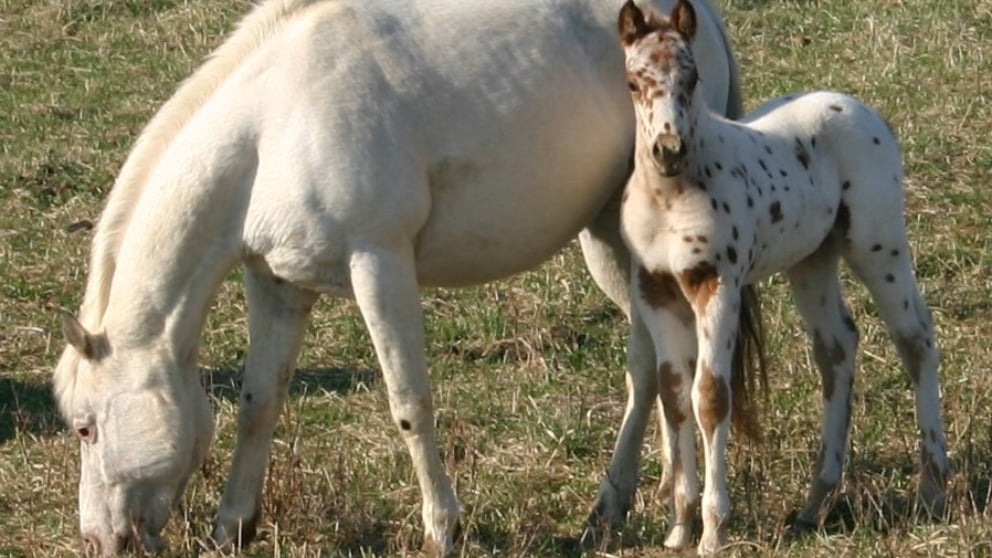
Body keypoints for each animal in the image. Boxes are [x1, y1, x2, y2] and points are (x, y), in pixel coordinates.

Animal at [50, 0, 740, 556]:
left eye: (85, 427)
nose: (96, 541)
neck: (273, 129)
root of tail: (693, 19)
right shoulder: (277, 284)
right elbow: (257, 403)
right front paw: (231, 526)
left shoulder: (378, 264)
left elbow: (409, 404)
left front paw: (443, 528)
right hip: (609, 241)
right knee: (656, 364)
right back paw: (644, 496)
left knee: (652, 367)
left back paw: (624, 506)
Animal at [620, 1, 952, 556]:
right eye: (632, 82)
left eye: (693, 77)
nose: (668, 149)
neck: (670, 195)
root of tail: (863, 109)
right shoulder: (656, 290)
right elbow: (673, 395)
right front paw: (679, 526)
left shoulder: (716, 284)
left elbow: (710, 397)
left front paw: (713, 529)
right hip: (811, 259)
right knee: (837, 348)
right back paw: (816, 502)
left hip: (878, 243)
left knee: (915, 339)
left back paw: (932, 485)